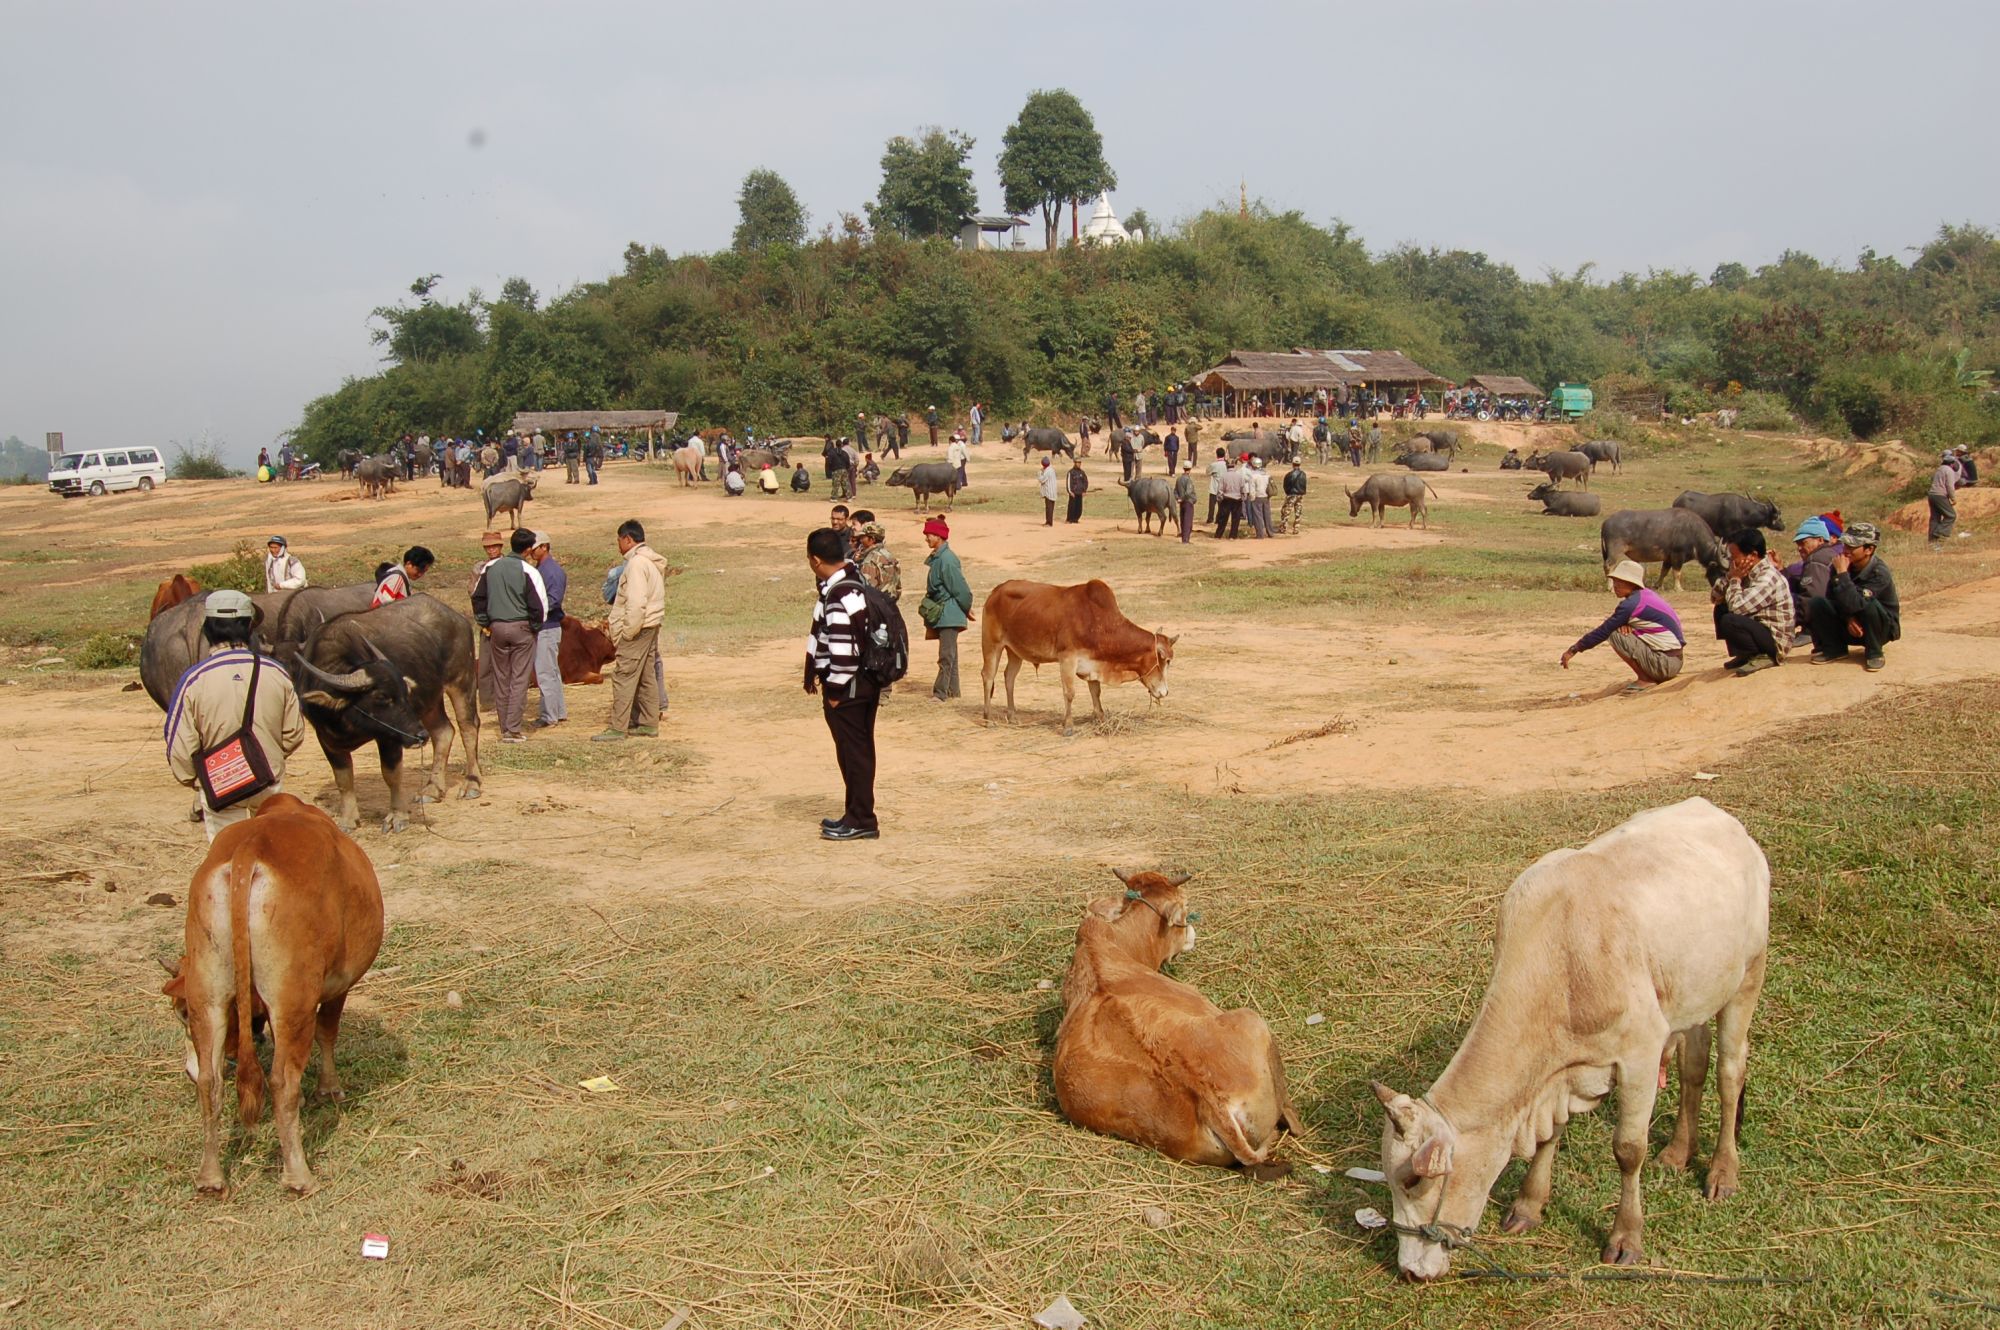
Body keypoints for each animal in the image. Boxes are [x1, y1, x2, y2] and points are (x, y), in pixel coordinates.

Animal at [160, 793, 384, 1194]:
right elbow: (327, 1033)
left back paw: (210, 1177)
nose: (186, 1071)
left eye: (180, 1013)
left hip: (208, 989)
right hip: (293, 998)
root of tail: (248, 851)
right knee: (282, 1082)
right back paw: (298, 1175)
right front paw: (329, 1090)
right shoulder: (337, 985)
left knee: (210, 1081)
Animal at [294, 596, 482, 832]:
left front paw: (398, 816)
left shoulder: (390, 736)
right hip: (430, 700)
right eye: (382, 696)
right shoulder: (326, 739)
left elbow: (391, 775)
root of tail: (458, 618)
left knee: (468, 728)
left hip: (462, 681)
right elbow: (343, 780)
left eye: (404, 692)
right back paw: (432, 789)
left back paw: (472, 783)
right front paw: (348, 820)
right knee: (443, 732)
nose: (420, 736)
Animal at [980, 579, 1175, 735]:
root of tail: (996, 590)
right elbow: (1069, 693)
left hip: (1014, 651)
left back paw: (1012, 716)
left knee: (1009, 677)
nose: (1165, 692)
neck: (1097, 622)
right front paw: (1068, 726)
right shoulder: (1067, 658)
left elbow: (1096, 692)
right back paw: (988, 719)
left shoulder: (1092, 664)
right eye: (1166, 661)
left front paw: (1101, 719)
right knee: (988, 676)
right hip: (992, 645)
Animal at [1373, 798, 1768, 1279]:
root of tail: (1720, 816)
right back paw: (1677, 1153)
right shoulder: (1558, 1072)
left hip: (1748, 976)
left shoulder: (1640, 1052)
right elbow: (1549, 1136)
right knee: (1694, 1062)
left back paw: (1722, 1172)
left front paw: (1626, 1237)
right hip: (1693, 993)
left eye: (1413, 1179)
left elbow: (1628, 1149)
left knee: (1730, 1073)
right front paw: (1528, 1205)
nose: (1410, 1270)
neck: (1560, 960)